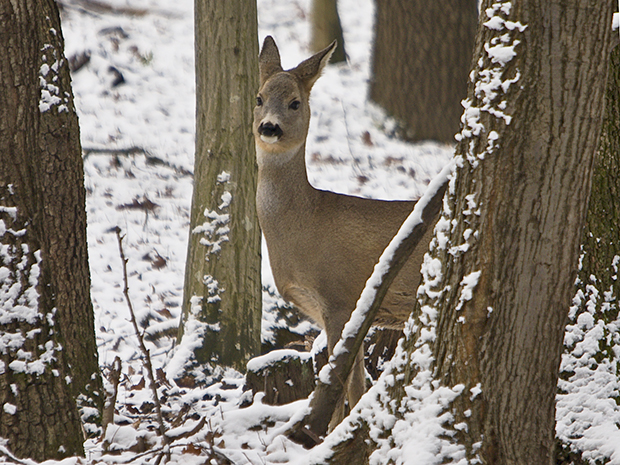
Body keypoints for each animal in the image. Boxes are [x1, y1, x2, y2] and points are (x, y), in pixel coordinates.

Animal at [254, 35, 438, 420]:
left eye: (295, 103)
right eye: (259, 98)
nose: (269, 127)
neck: (306, 221)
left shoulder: (340, 298)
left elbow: (342, 385)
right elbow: (346, 382)